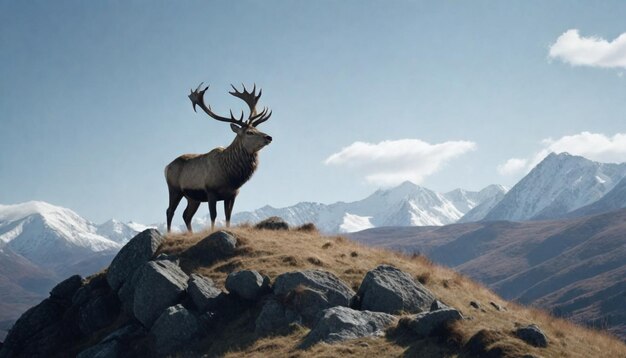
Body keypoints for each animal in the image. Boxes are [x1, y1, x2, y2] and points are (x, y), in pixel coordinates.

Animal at [165, 83, 272, 232]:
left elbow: (228, 216)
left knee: (186, 215)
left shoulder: (232, 195)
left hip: (193, 198)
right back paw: (169, 233)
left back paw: (190, 233)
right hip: (174, 189)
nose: (269, 137)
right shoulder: (211, 191)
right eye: (249, 132)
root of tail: (166, 167)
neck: (231, 177)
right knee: (170, 211)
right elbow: (213, 216)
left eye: (257, 129)